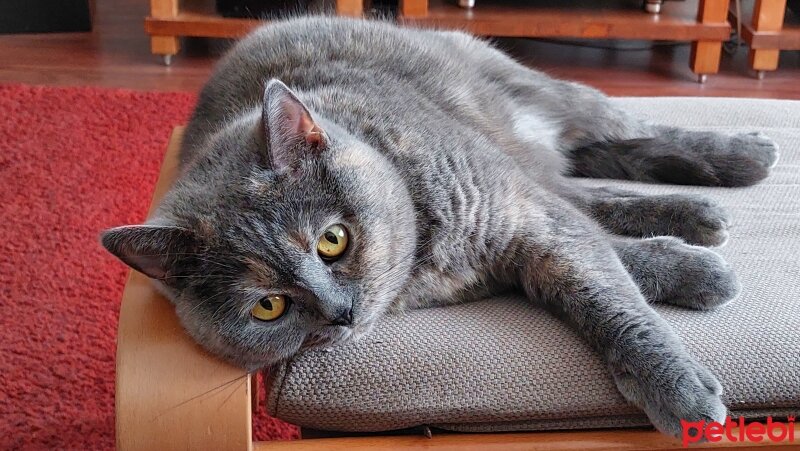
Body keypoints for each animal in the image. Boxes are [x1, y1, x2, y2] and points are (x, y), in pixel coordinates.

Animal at [98, 16, 776, 438]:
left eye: (332, 240)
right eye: (268, 307)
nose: (339, 312)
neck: (424, 256)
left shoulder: (521, 214)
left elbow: (607, 297)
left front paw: (679, 387)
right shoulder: (526, 225)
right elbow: (602, 258)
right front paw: (693, 270)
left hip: (551, 96)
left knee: (627, 132)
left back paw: (745, 157)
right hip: (531, 162)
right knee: (589, 183)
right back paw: (700, 215)